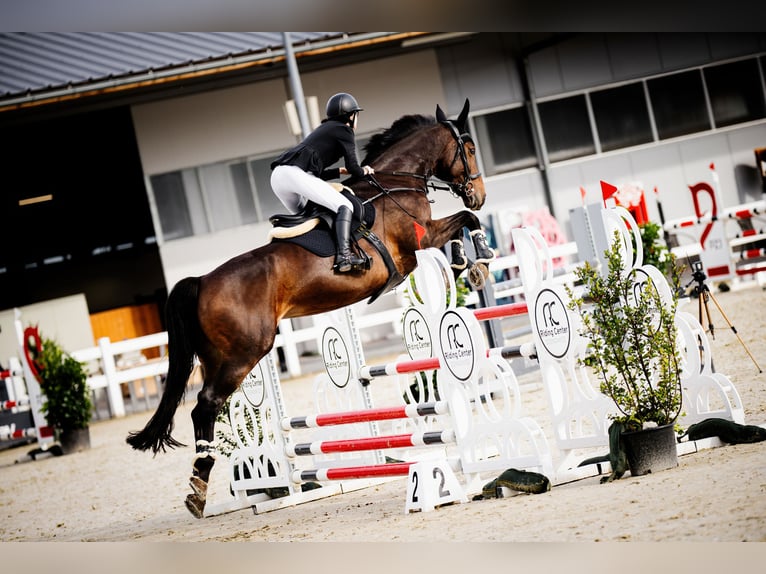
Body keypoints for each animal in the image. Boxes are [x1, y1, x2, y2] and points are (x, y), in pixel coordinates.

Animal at [126, 99, 492, 518]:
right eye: (469, 148)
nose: (479, 194)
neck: (395, 181)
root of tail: (202, 280)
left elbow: (462, 225)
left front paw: (468, 260)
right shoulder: (419, 241)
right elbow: (465, 220)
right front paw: (478, 260)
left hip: (217, 357)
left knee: (206, 407)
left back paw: (203, 486)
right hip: (245, 353)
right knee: (205, 406)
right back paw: (198, 484)